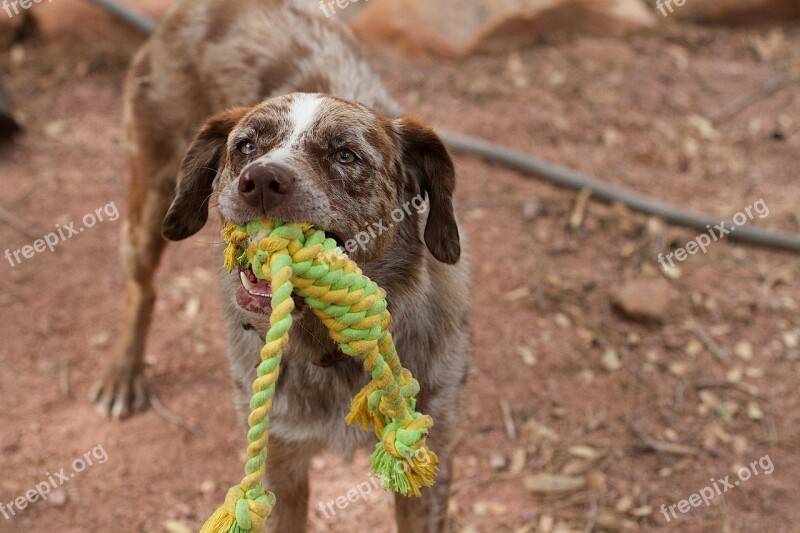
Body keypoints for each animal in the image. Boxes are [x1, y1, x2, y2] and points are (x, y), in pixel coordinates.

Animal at [91, 2, 472, 528]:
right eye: (246, 146)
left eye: (346, 155)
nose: (260, 181)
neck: (334, 350)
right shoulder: (279, 462)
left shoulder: (431, 462)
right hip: (152, 198)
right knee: (141, 287)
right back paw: (122, 375)